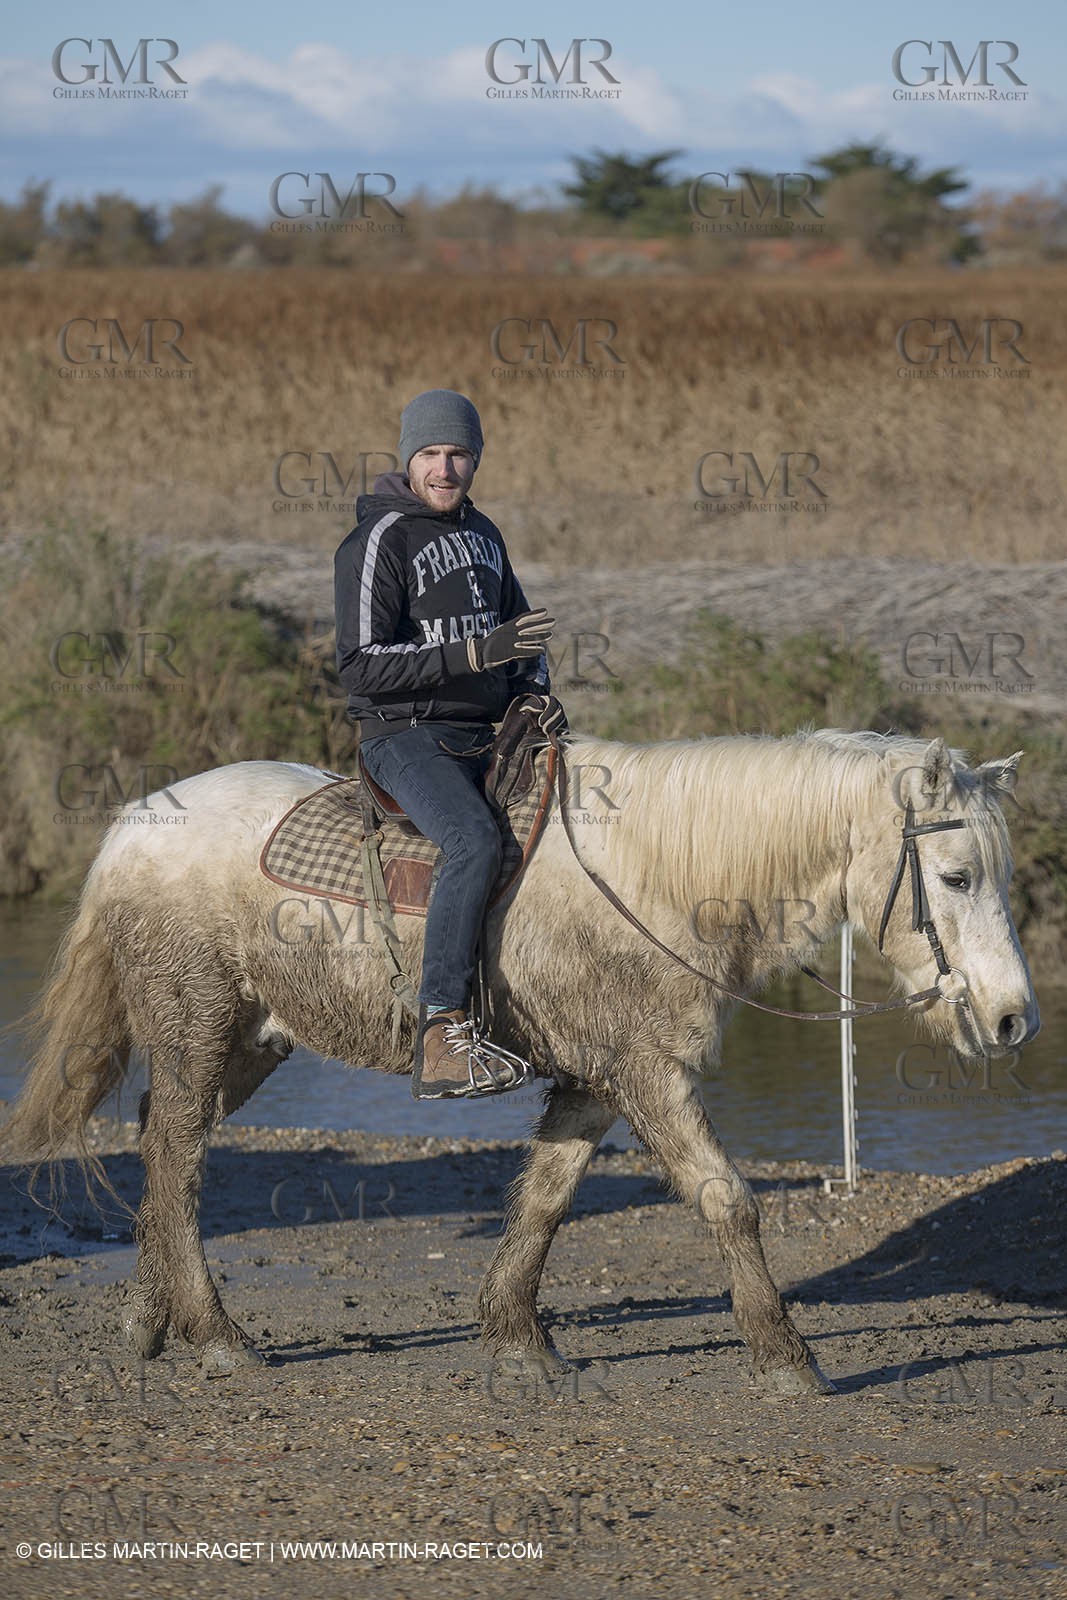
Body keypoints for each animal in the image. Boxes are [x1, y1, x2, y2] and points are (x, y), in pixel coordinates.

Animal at [1, 728, 1038, 1393]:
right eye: (955, 877)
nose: (1012, 1019)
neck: (659, 875)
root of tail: (134, 822)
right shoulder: (648, 1071)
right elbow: (726, 1198)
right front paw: (786, 1357)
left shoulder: (596, 1081)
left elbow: (545, 1200)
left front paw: (516, 1342)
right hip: (195, 1023)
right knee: (178, 1154)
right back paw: (217, 1337)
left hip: (251, 1040)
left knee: (162, 1140)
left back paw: (152, 1320)